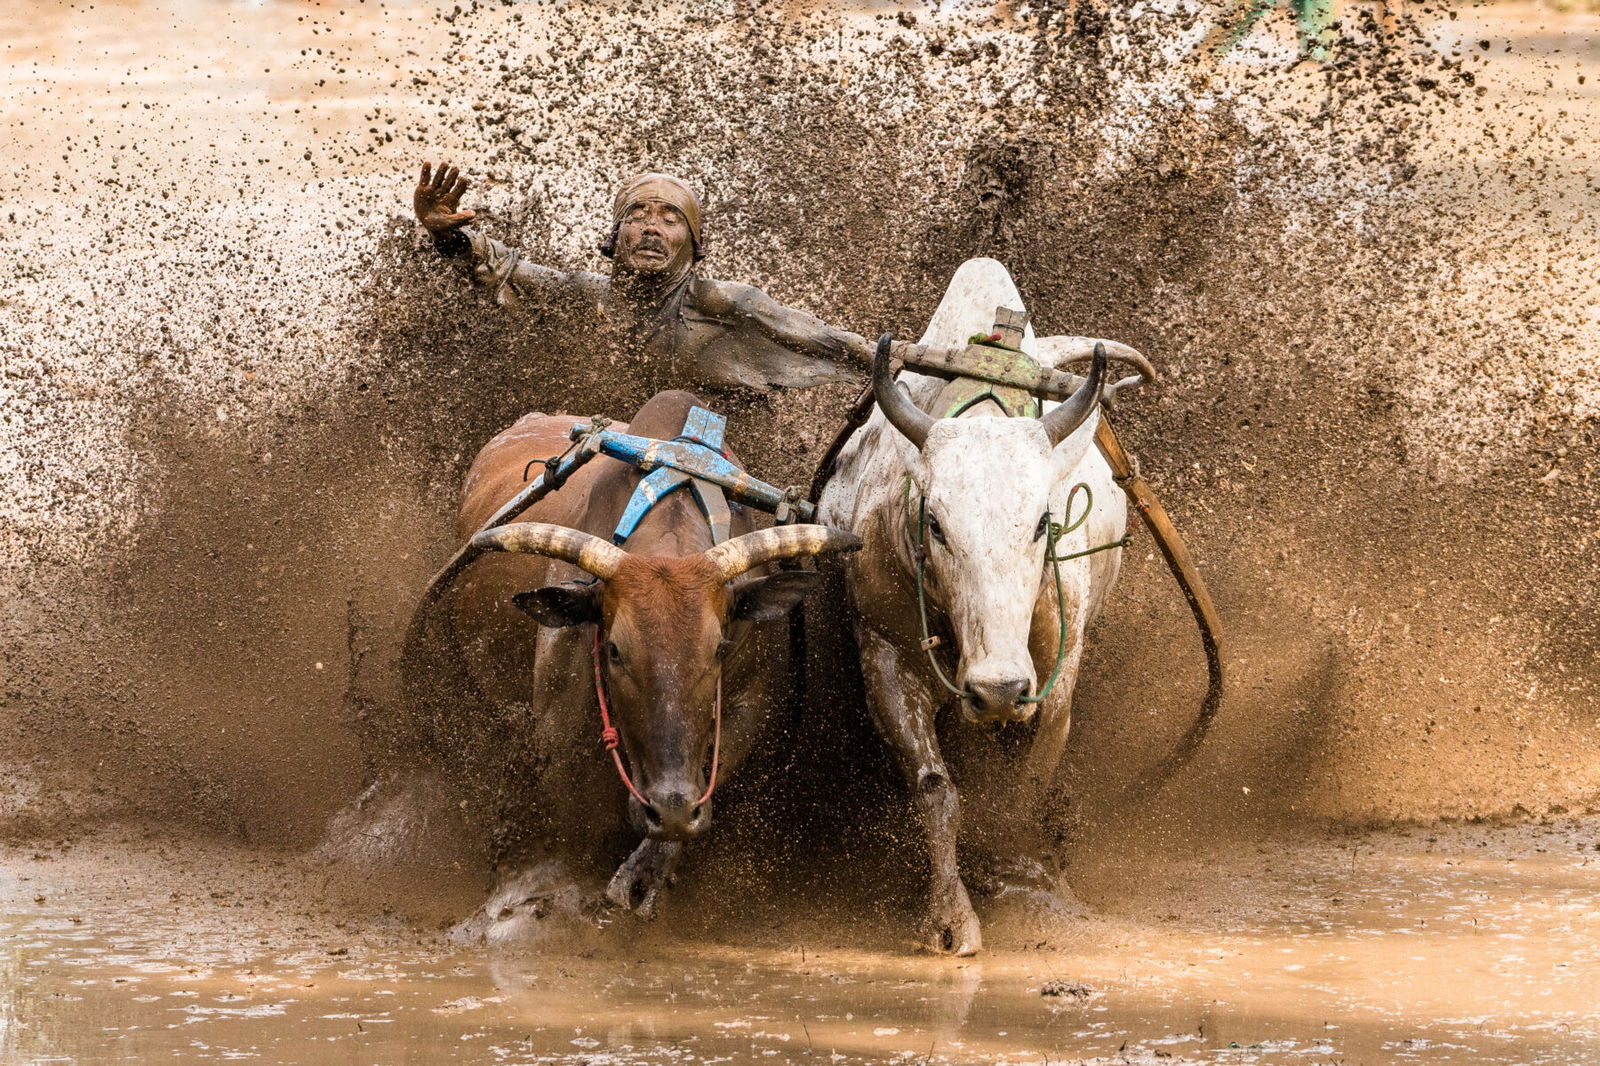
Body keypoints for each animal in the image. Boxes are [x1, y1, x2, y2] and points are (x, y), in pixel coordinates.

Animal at [435, 390, 864, 928]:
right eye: (615, 651)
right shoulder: (555, 724)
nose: (672, 804)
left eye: (719, 648)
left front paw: (645, 873)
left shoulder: (745, 707)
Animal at [825, 256, 1139, 947]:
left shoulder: (1058, 669)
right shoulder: (884, 657)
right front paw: (951, 916)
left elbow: (1030, 782)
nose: (997, 689)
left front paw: (1027, 881)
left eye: (1043, 521)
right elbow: (936, 789)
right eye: (935, 523)